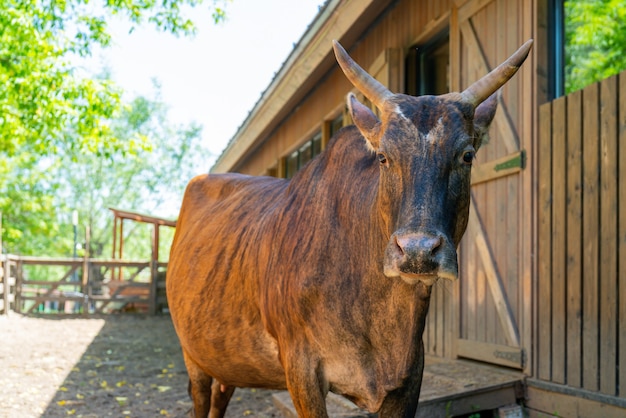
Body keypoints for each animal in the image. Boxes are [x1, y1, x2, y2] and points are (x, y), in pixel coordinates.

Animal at [167, 40, 532, 418]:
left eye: (467, 155)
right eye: (383, 156)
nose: (417, 251)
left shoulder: (409, 376)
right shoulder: (301, 369)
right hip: (193, 356)